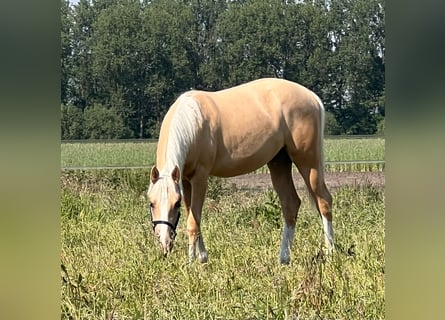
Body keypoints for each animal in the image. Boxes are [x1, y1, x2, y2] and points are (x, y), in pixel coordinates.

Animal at [147, 77, 332, 262]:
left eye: (176, 203)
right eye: (151, 203)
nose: (165, 242)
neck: (193, 121)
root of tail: (313, 97)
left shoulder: (200, 178)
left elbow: (193, 223)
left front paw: (191, 262)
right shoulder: (185, 180)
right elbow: (193, 217)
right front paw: (202, 257)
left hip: (308, 162)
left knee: (324, 201)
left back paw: (331, 252)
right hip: (279, 163)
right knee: (291, 204)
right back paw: (284, 259)